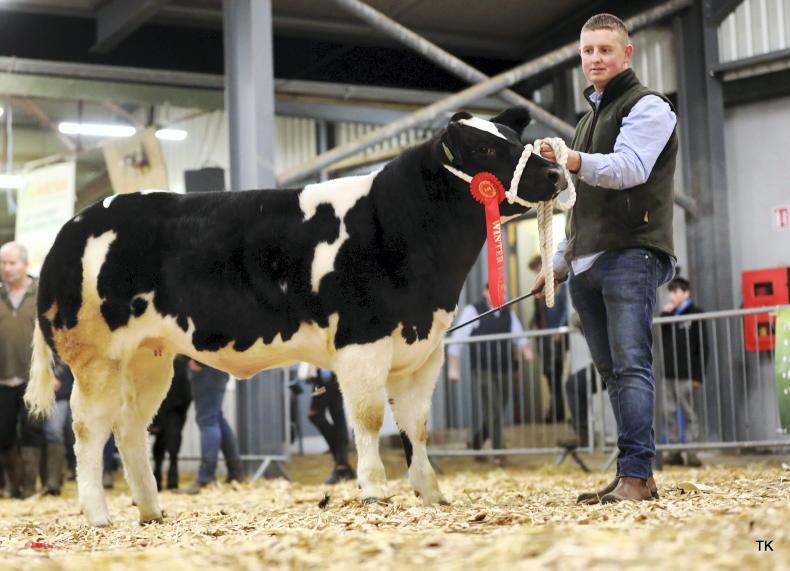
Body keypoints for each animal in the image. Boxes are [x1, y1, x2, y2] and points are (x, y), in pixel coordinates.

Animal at [25, 106, 566, 526]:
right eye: (487, 150)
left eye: (516, 139)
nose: (557, 174)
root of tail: (72, 227)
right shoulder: (362, 341)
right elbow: (369, 419)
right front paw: (375, 492)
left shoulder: (424, 350)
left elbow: (417, 426)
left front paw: (431, 494)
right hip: (96, 358)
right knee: (89, 431)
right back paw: (98, 514)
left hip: (149, 357)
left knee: (131, 428)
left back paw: (152, 510)